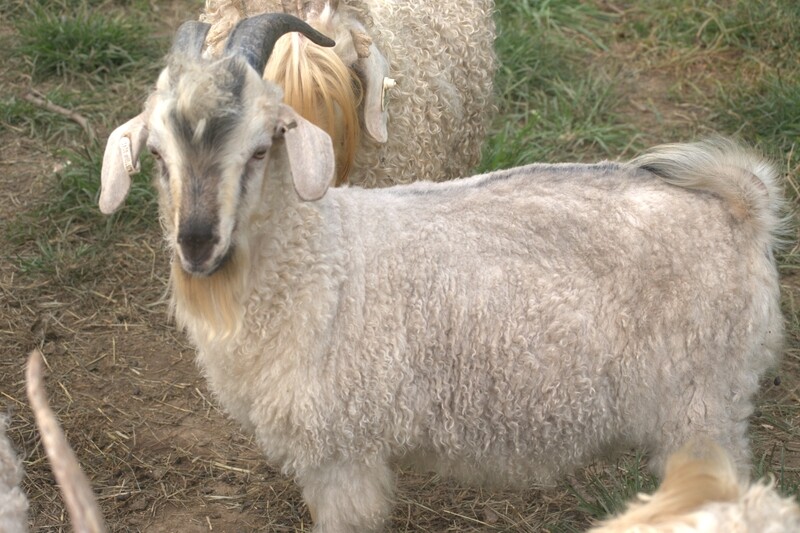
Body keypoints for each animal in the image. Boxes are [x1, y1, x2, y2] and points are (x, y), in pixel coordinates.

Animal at [99, 15, 786, 533]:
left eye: (262, 147)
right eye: (156, 154)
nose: (196, 244)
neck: (323, 263)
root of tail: (740, 207)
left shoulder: (343, 454)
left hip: (702, 404)